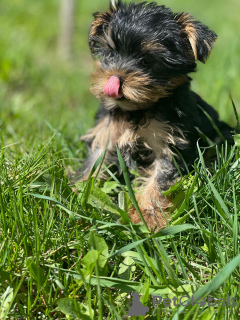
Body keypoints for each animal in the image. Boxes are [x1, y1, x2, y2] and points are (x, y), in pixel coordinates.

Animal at [78, 0, 232, 230]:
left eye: (147, 61)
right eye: (111, 54)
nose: (115, 79)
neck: (139, 108)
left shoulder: (171, 143)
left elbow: (160, 180)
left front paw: (148, 217)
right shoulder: (106, 134)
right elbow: (94, 166)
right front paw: (79, 198)